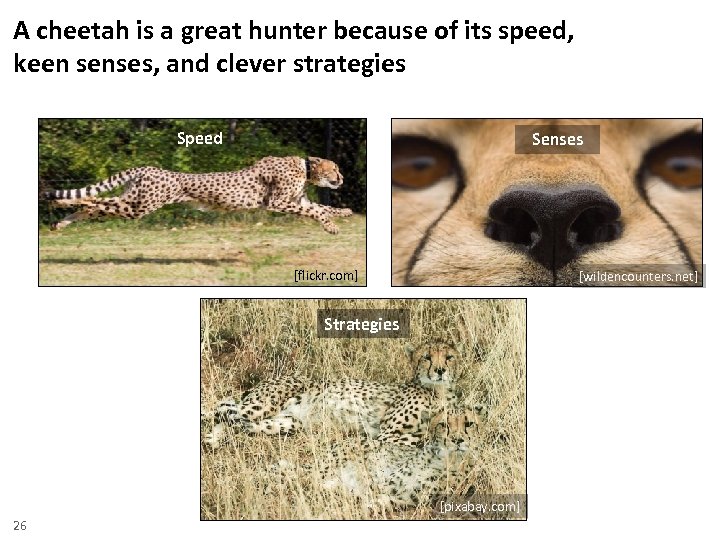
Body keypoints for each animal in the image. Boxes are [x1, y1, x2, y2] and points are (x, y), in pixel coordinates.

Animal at [42, 156, 353, 234]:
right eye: (335, 168)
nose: (342, 178)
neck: (306, 167)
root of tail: (148, 167)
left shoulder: (295, 200)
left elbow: (321, 208)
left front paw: (344, 213)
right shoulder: (278, 202)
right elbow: (316, 210)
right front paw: (332, 226)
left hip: (134, 201)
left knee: (97, 205)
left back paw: (61, 221)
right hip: (140, 206)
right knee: (95, 201)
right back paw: (61, 201)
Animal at [203, 341, 461, 449]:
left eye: (449, 357)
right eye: (427, 357)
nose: (440, 370)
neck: (437, 392)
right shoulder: (388, 433)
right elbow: (422, 439)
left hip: (286, 423)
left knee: (237, 420)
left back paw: (213, 439)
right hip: (263, 404)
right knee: (221, 409)